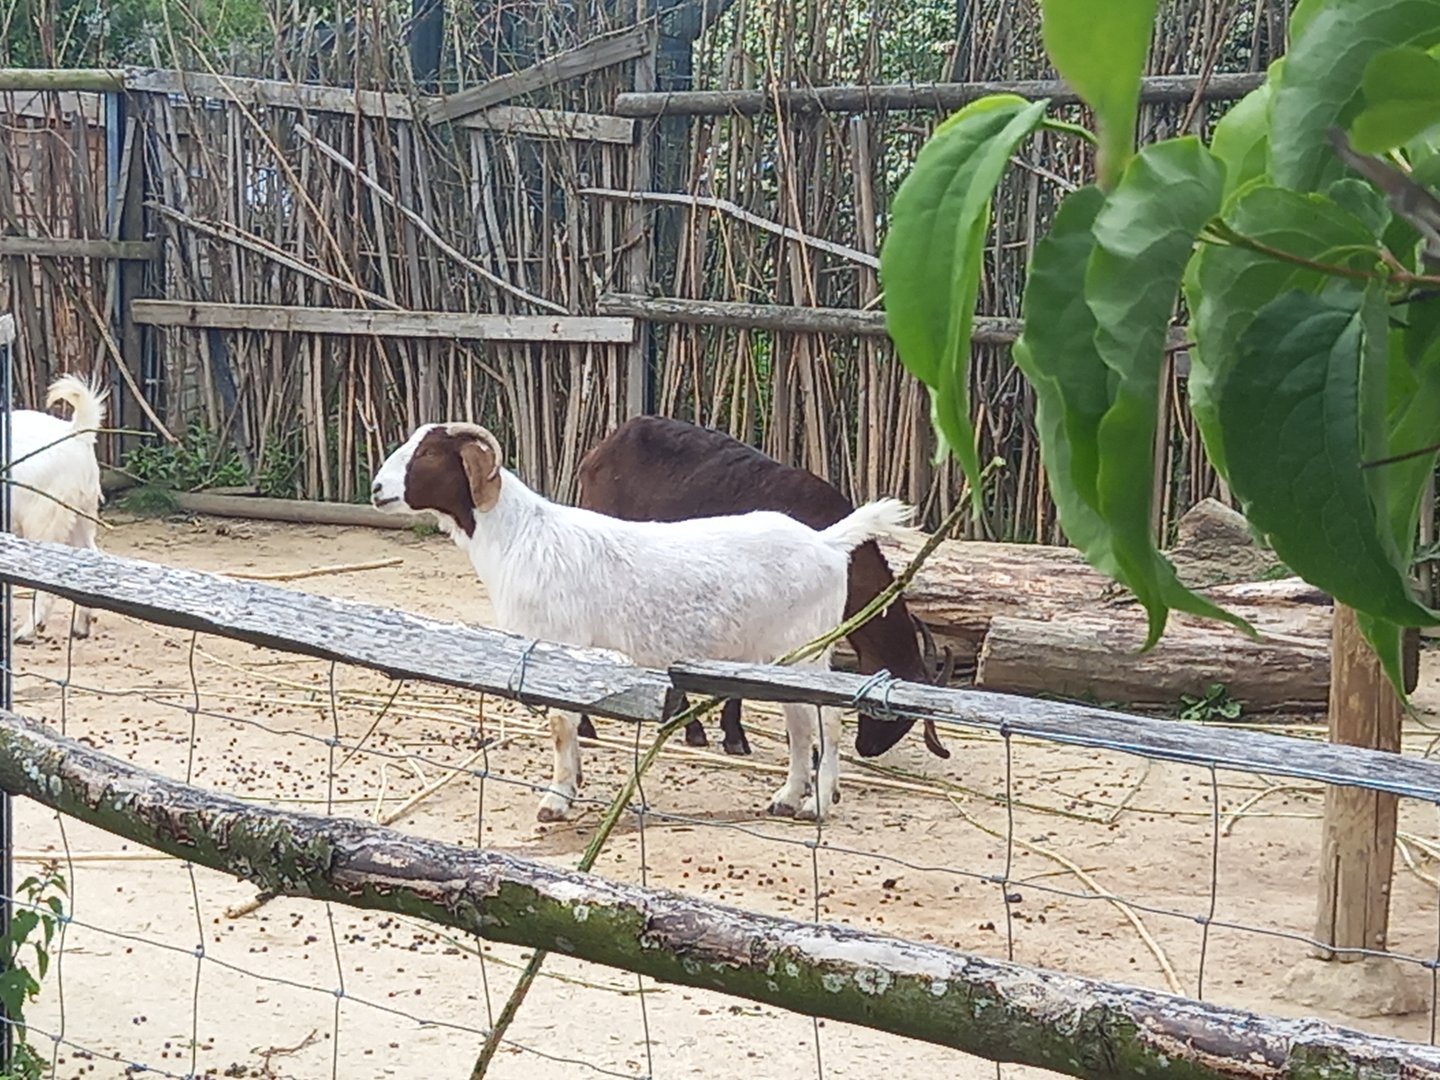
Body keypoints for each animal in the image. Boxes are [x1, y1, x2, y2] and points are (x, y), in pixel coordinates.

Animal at [370, 421, 915, 822]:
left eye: (427, 454)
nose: (376, 488)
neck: (521, 537)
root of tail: (827, 543)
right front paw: (572, 786)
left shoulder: (559, 644)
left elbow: (561, 726)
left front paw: (556, 801)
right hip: (780, 657)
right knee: (799, 725)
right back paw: (785, 798)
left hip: (809, 650)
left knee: (827, 723)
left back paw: (817, 805)